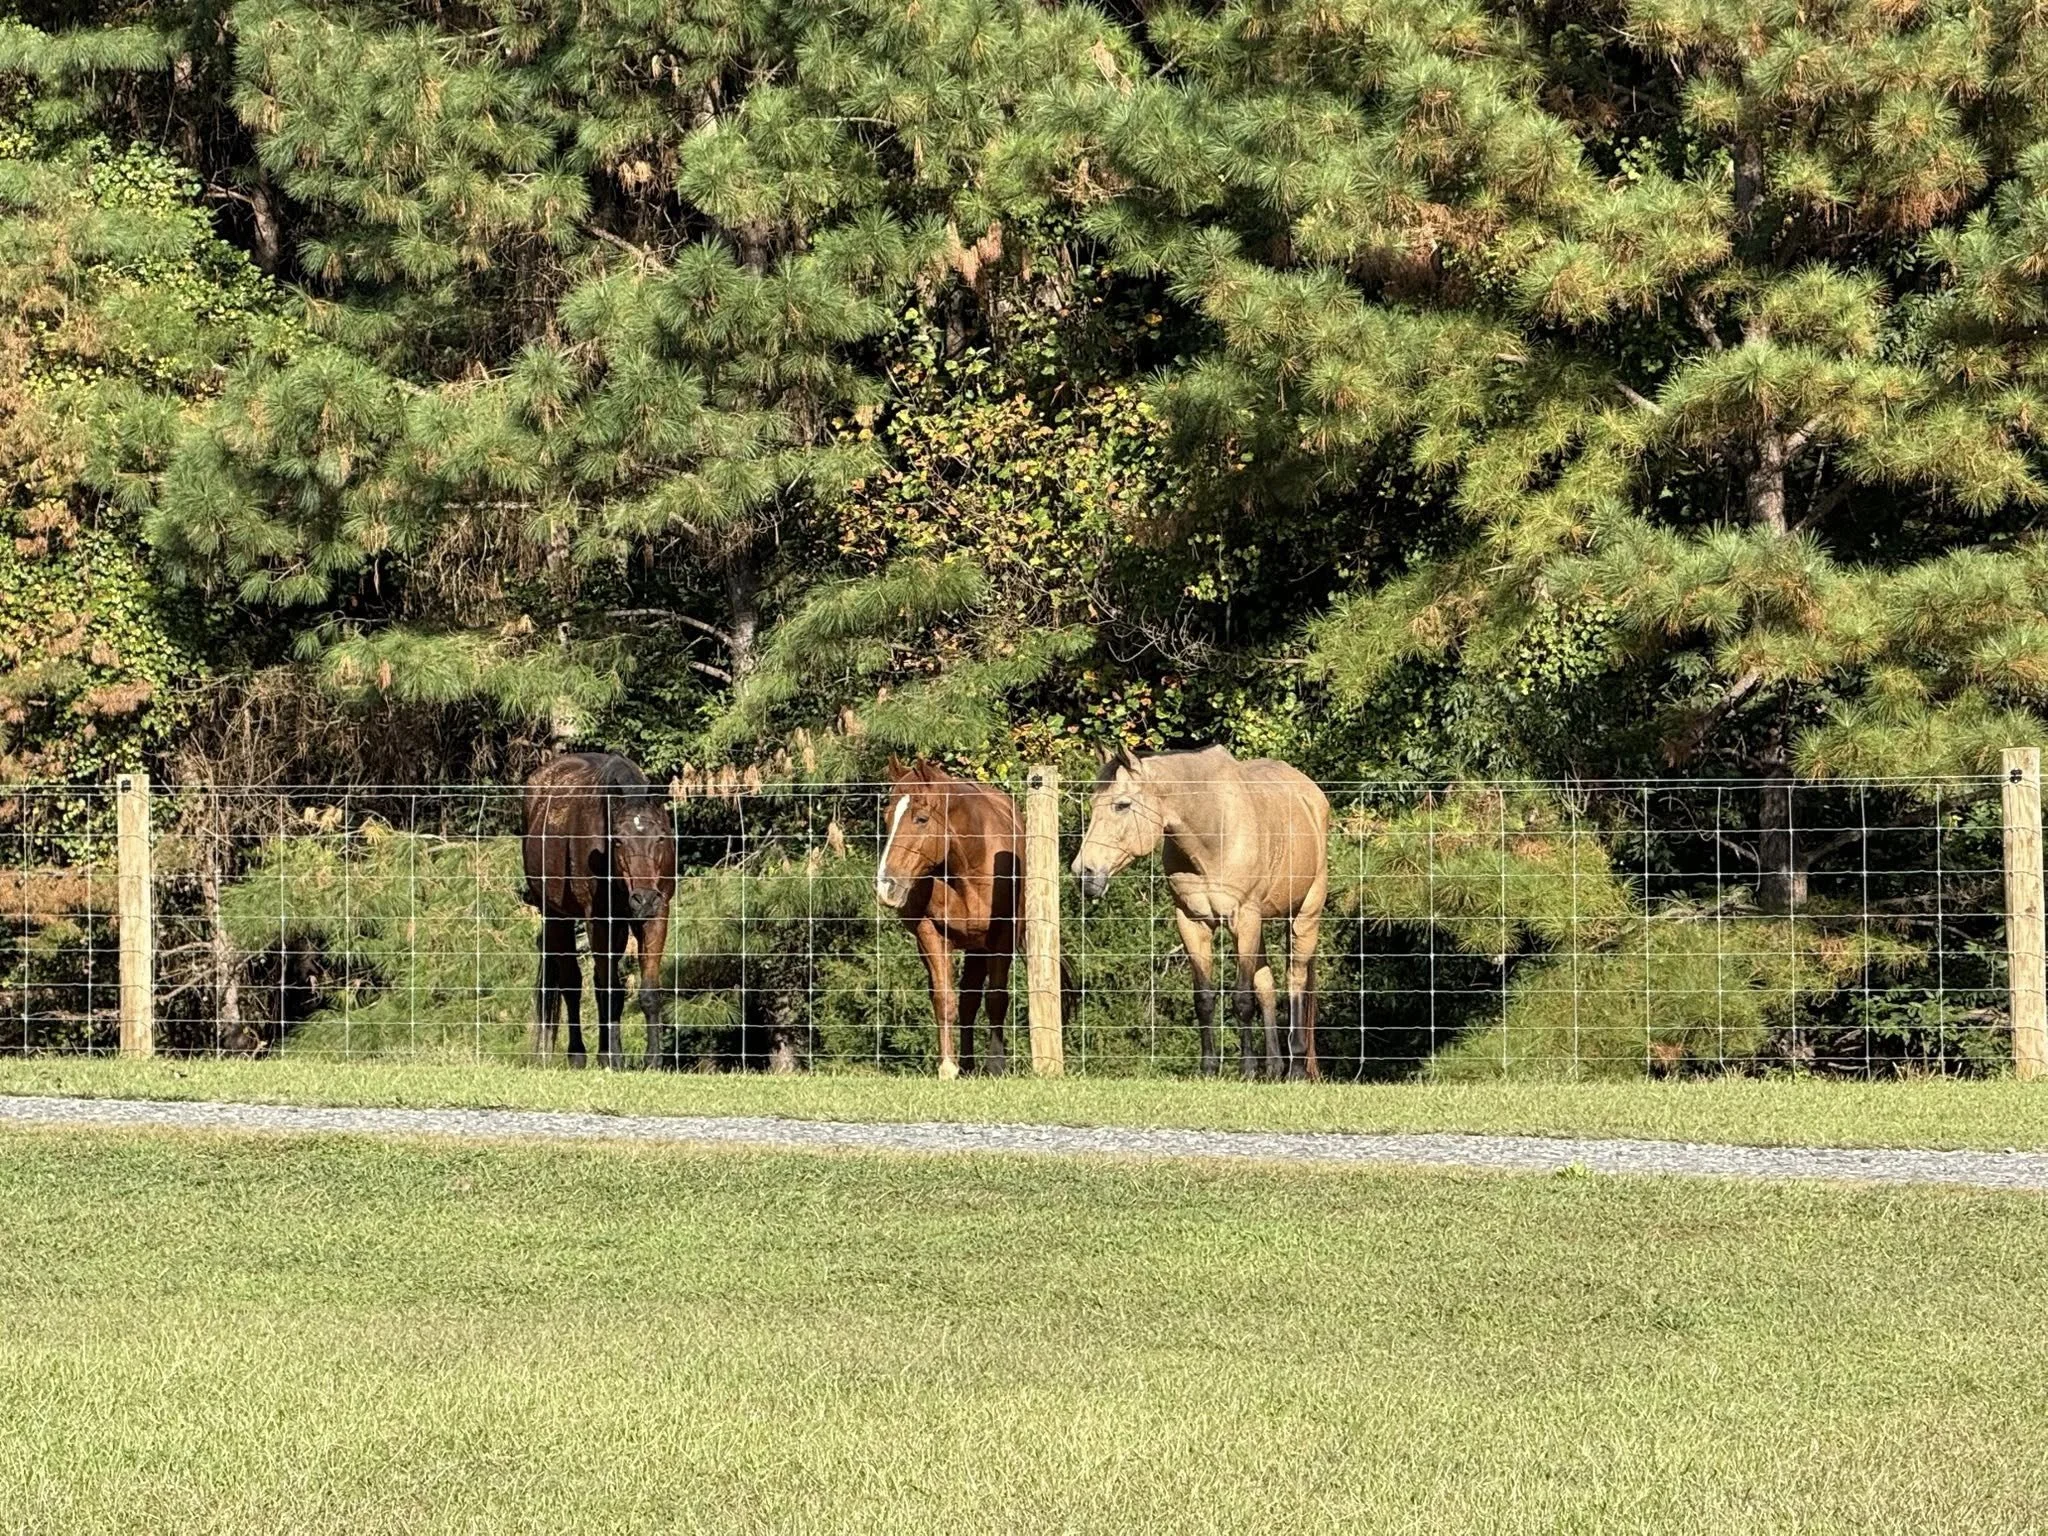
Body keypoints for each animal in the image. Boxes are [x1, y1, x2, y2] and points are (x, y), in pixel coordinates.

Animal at [521, 752, 677, 1070]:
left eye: (660, 838)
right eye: (618, 840)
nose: (644, 900)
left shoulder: (657, 916)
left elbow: (648, 992)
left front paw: (652, 1060)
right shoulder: (599, 922)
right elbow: (609, 991)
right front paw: (617, 1058)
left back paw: (603, 1053)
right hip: (557, 918)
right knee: (572, 984)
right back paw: (579, 1054)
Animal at [872, 757, 1027, 1078]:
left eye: (921, 818)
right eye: (887, 817)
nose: (886, 886)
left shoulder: (1002, 937)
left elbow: (996, 998)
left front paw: (996, 1066)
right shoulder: (931, 935)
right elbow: (945, 999)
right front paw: (947, 1066)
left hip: (981, 947)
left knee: (974, 999)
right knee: (965, 1000)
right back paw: (965, 1065)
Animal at [1073, 745, 1328, 1081]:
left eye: (1122, 805)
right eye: (1092, 804)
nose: (1083, 873)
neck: (1213, 831)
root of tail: (1311, 793)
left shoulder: (1242, 918)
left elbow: (1242, 999)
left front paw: (1246, 1069)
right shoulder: (1192, 922)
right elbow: (1205, 998)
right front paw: (1208, 1068)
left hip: (1303, 916)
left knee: (1295, 981)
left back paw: (1296, 1068)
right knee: (1266, 985)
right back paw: (1273, 1067)